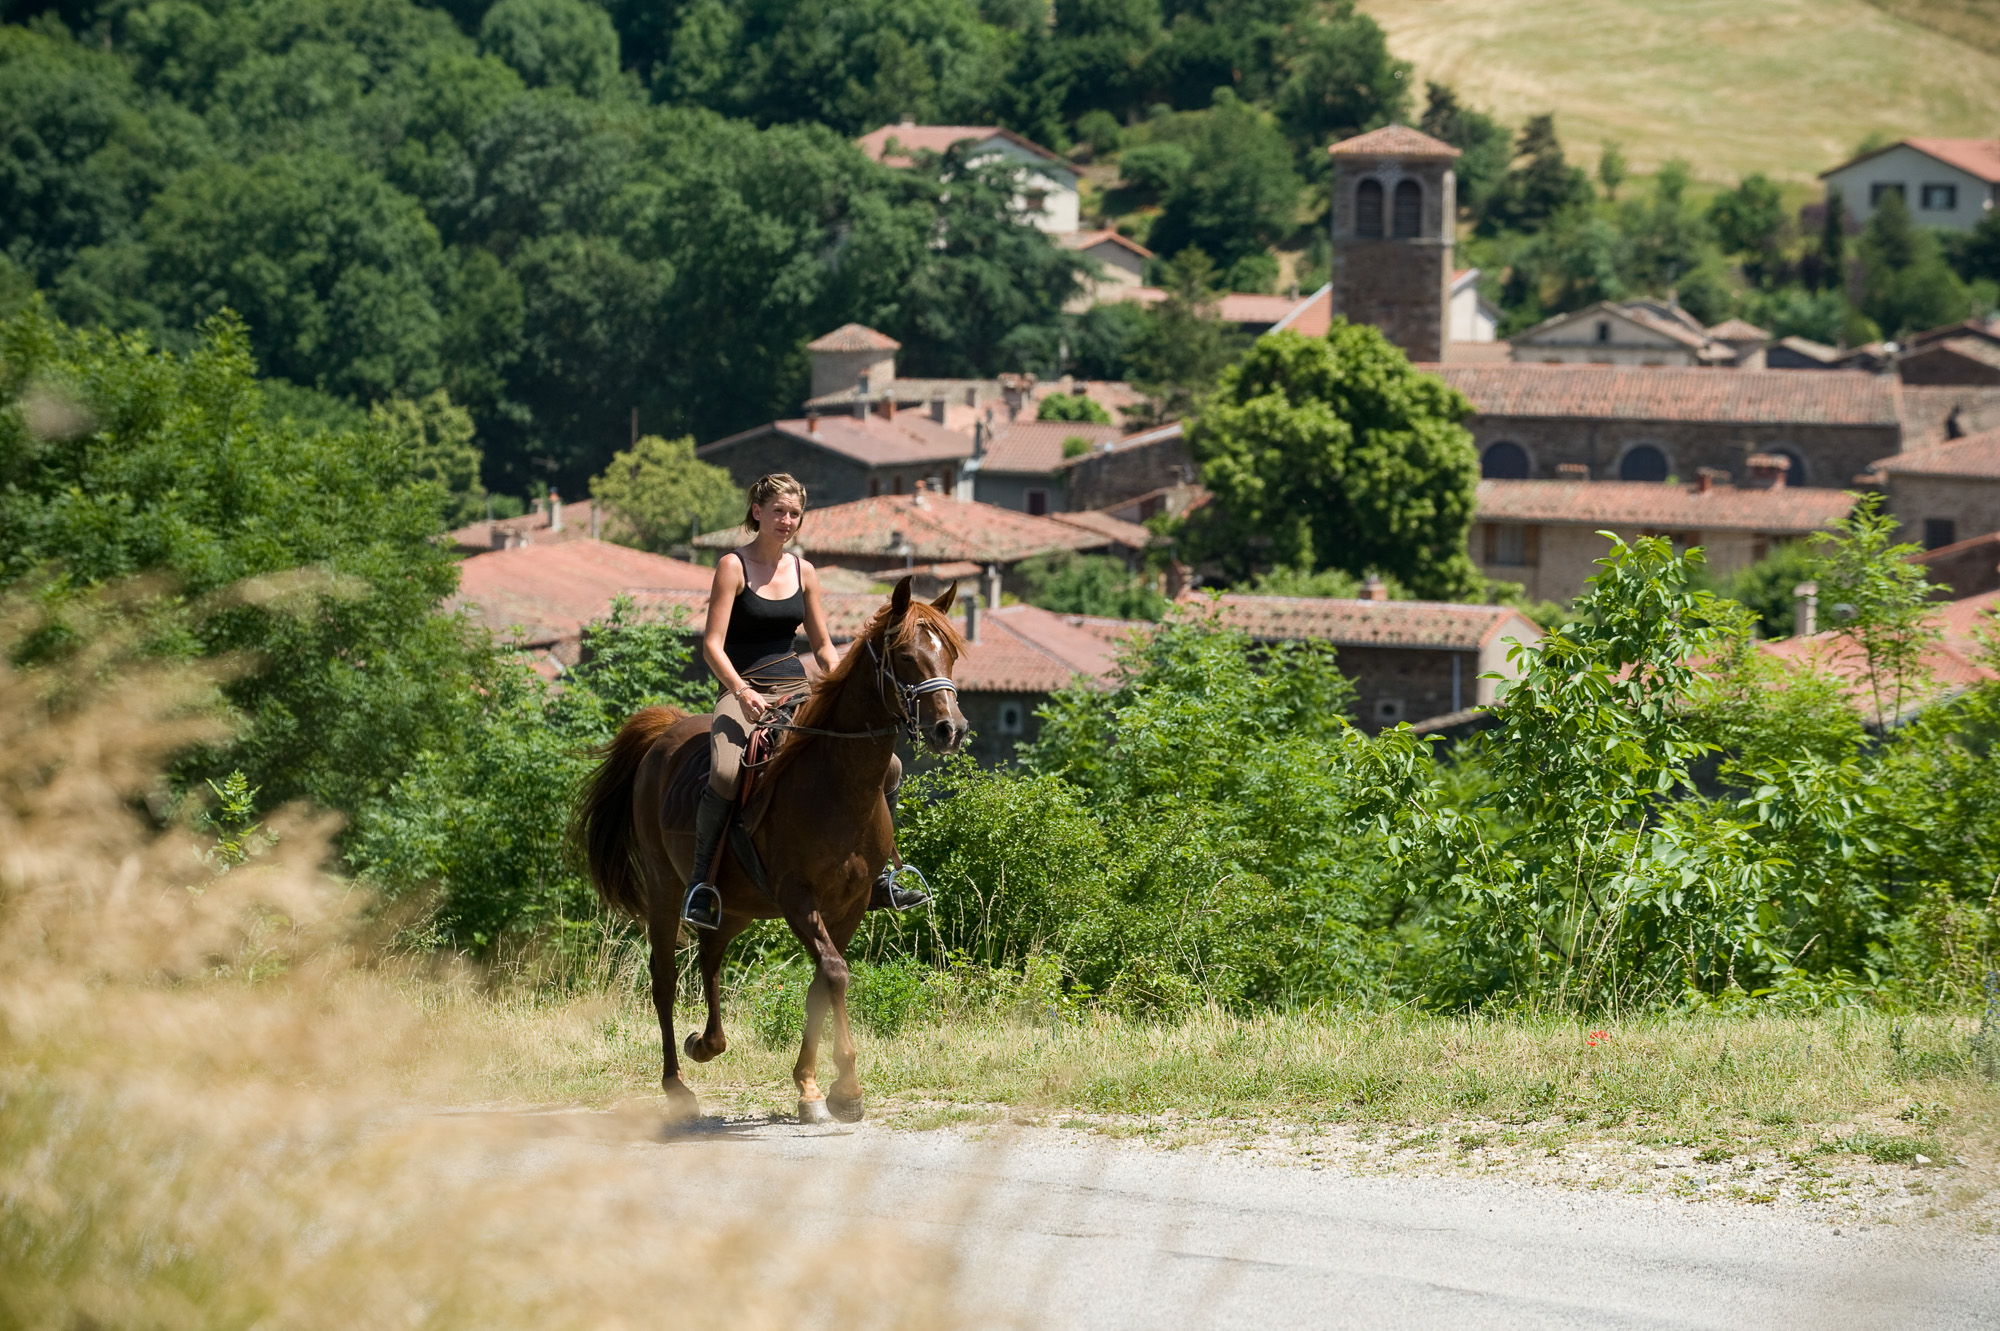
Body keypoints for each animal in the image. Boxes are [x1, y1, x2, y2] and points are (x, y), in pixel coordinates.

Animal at [572, 579, 968, 1119]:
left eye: (949, 653)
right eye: (906, 657)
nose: (952, 729)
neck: (836, 781)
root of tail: (666, 731)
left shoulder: (851, 903)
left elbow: (821, 983)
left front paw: (810, 1087)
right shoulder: (796, 896)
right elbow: (834, 974)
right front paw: (847, 1091)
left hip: (736, 905)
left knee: (710, 958)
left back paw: (707, 1044)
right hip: (664, 888)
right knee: (665, 978)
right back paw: (677, 1086)